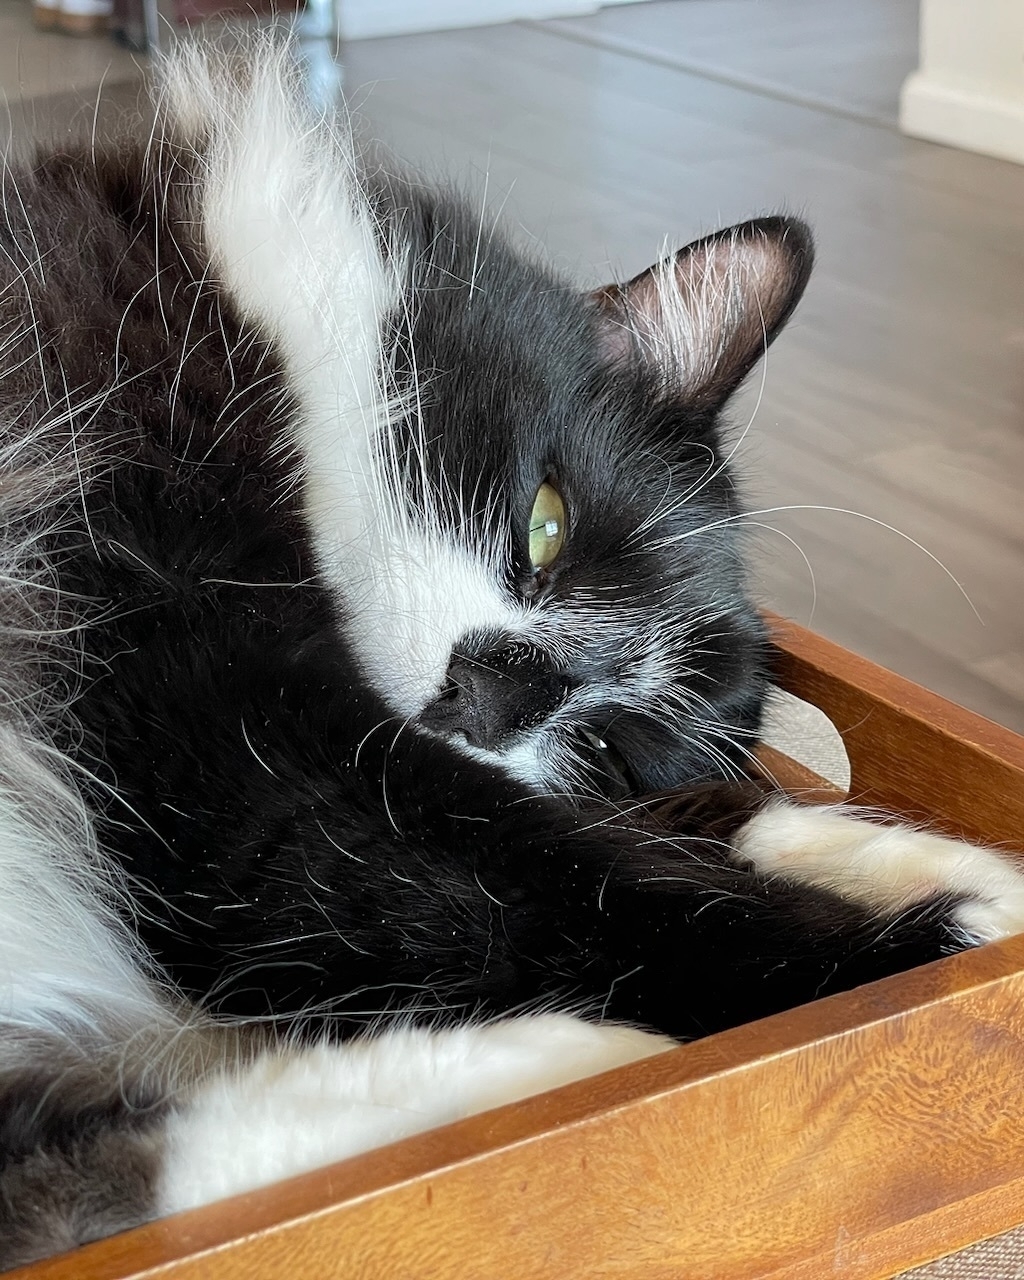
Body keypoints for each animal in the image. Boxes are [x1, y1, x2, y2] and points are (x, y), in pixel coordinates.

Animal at [2, 35, 1024, 1264]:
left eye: (608, 745)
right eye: (545, 523)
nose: (488, 696)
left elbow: (693, 822)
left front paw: (959, 873)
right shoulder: (211, 724)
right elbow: (573, 879)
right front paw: (908, 946)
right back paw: (584, 1052)